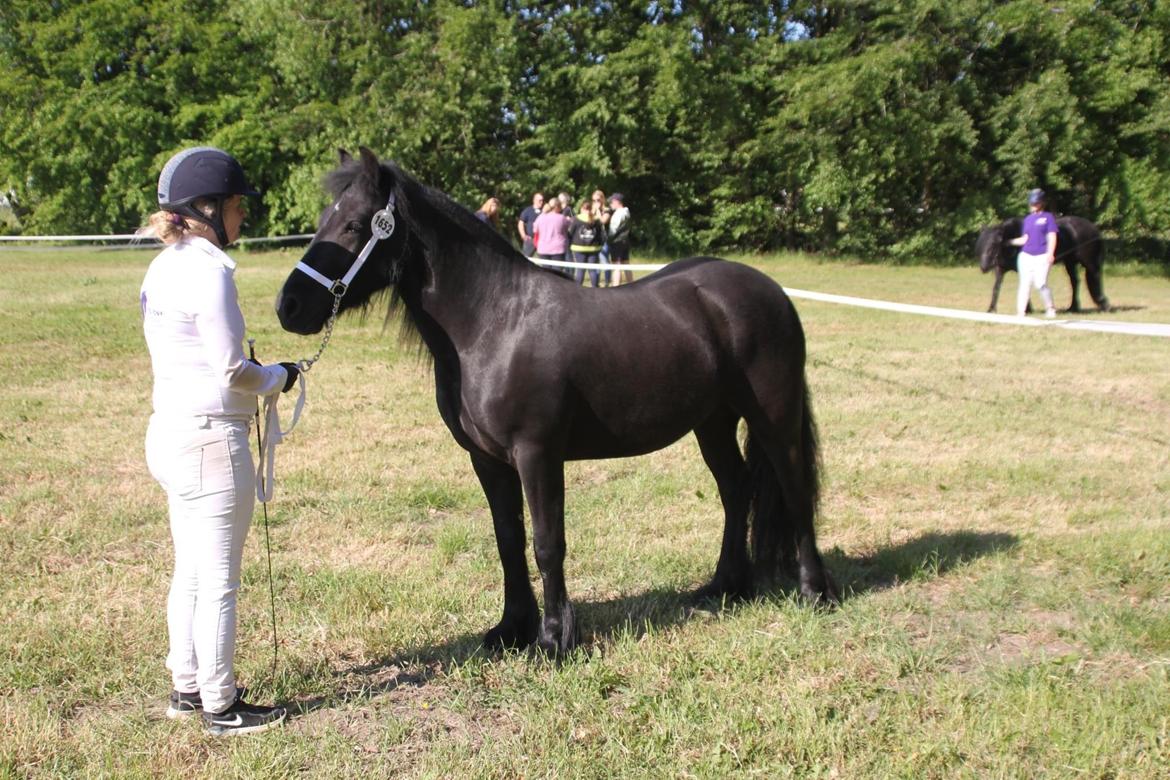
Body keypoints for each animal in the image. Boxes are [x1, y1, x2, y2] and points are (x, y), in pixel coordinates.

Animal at [275, 148, 837, 655]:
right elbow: (508, 541)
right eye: (323, 222)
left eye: (353, 225)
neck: (494, 322)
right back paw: (725, 587)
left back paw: (814, 592)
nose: (290, 306)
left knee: (794, 488)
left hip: (774, 416)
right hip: (713, 422)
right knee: (736, 489)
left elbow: (548, 543)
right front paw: (510, 630)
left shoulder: (537, 454)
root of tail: (769, 290)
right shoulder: (488, 461)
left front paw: (552, 638)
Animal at [976, 215, 1110, 313]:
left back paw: (1103, 306)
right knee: (1075, 282)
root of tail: (1094, 229)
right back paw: (1073, 308)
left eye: (994, 245)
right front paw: (991, 309)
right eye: (981, 244)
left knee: (1095, 279)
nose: (984, 267)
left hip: (1089, 263)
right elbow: (996, 288)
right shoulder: (1000, 269)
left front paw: (1028, 309)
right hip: (1070, 263)